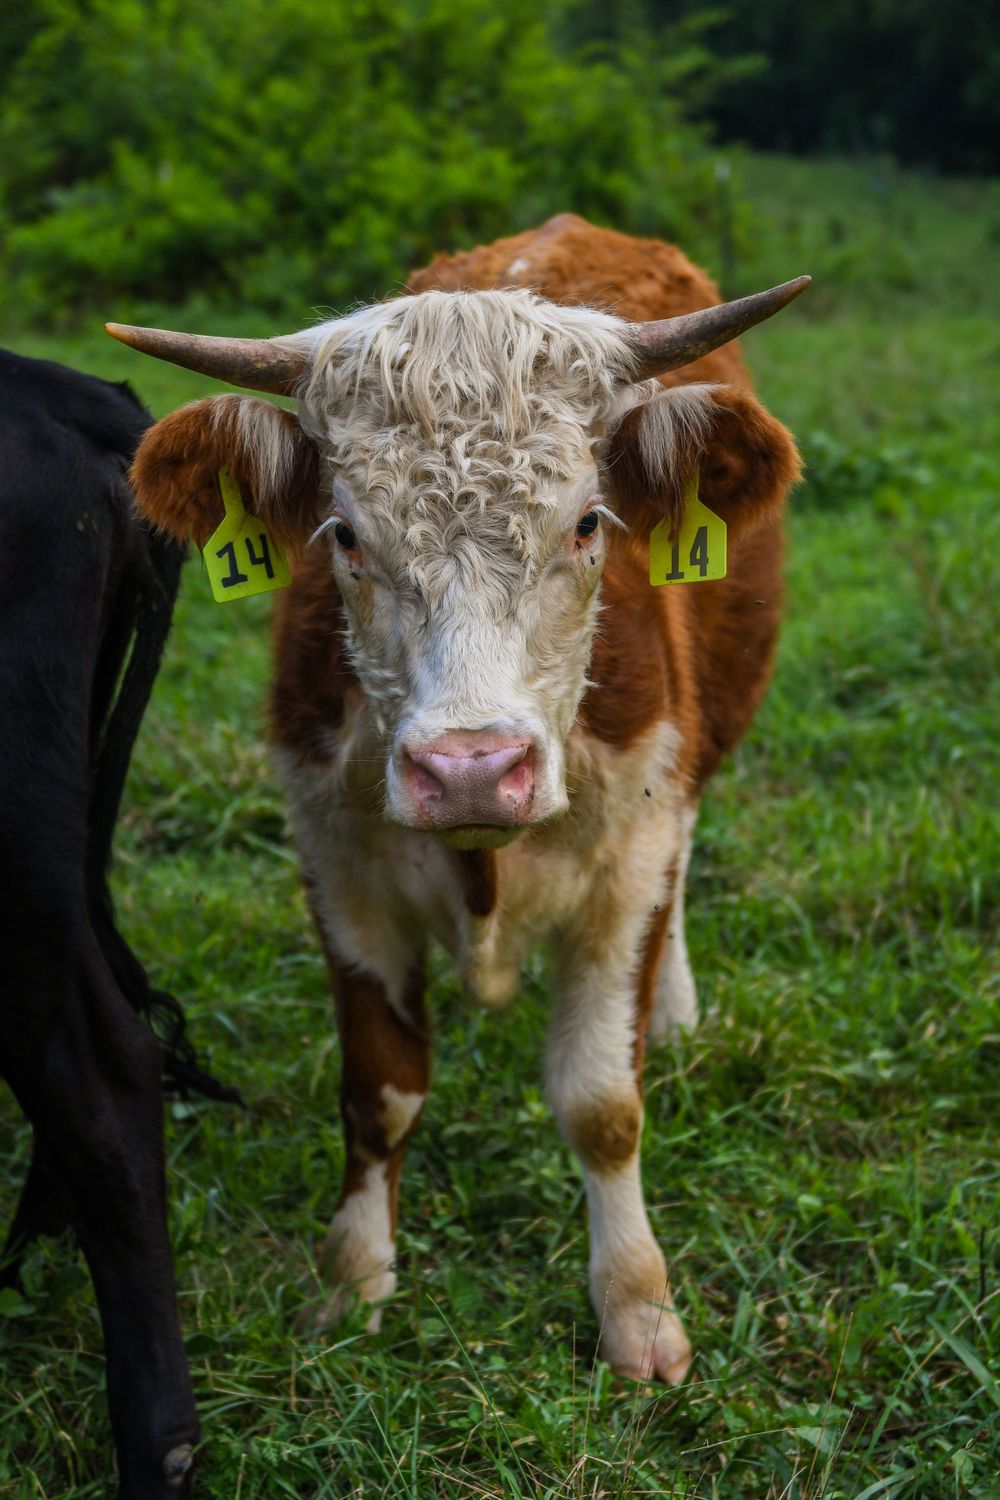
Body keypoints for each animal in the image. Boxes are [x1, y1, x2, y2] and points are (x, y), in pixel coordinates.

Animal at [110, 214, 806, 1386]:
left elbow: (602, 1104)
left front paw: (637, 1308)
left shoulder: (631, 859)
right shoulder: (337, 866)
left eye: (587, 523)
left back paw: (672, 1005)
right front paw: (351, 1280)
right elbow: (379, 1091)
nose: (473, 768)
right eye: (344, 535)